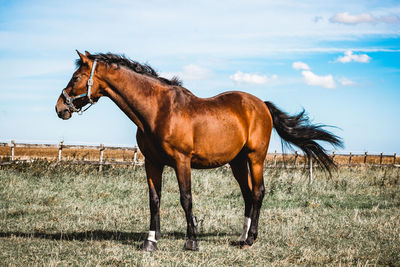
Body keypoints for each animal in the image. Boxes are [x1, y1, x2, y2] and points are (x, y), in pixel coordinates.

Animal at [55, 51, 344, 252]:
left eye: (76, 77)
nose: (60, 108)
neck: (158, 111)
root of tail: (260, 104)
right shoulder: (152, 163)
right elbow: (154, 200)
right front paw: (150, 242)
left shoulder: (182, 162)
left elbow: (186, 199)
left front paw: (191, 242)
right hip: (237, 162)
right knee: (248, 195)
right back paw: (241, 238)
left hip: (255, 158)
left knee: (259, 193)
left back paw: (251, 239)